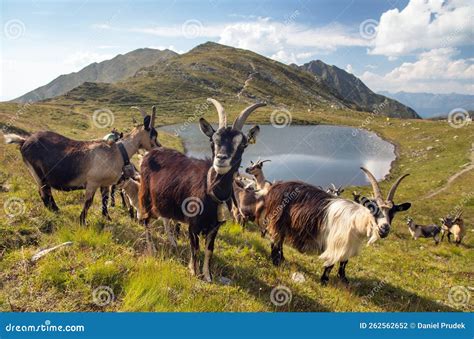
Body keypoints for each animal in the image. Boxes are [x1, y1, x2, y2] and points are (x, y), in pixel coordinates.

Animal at [3, 107, 160, 226]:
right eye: (153, 134)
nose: (159, 148)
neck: (117, 151)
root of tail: (24, 141)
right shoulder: (92, 182)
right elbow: (88, 203)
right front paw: (82, 222)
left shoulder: (105, 184)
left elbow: (105, 201)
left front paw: (107, 218)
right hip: (38, 174)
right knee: (44, 193)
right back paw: (55, 212)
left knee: (45, 193)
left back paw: (56, 210)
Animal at [140, 97, 266, 282]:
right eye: (213, 141)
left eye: (242, 144)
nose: (221, 159)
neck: (211, 191)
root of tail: (149, 153)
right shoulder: (193, 225)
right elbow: (195, 248)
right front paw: (194, 271)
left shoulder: (215, 227)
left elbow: (209, 250)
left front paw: (207, 275)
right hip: (146, 196)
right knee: (146, 220)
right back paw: (153, 248)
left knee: (165, 219)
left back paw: (173, 242)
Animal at [260, 169, 412, 286]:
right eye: (373, 209)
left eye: (393, 212)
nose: (384, 229)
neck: (355, 220)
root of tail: (275, 187)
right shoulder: (336, 242)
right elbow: (331, 263)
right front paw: (324, 280)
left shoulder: (349, 244)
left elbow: (344, 261)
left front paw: (343, 279)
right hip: (276, 221)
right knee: (275, 240)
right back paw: (276, 261)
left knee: (280, 241)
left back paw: (282, 259)